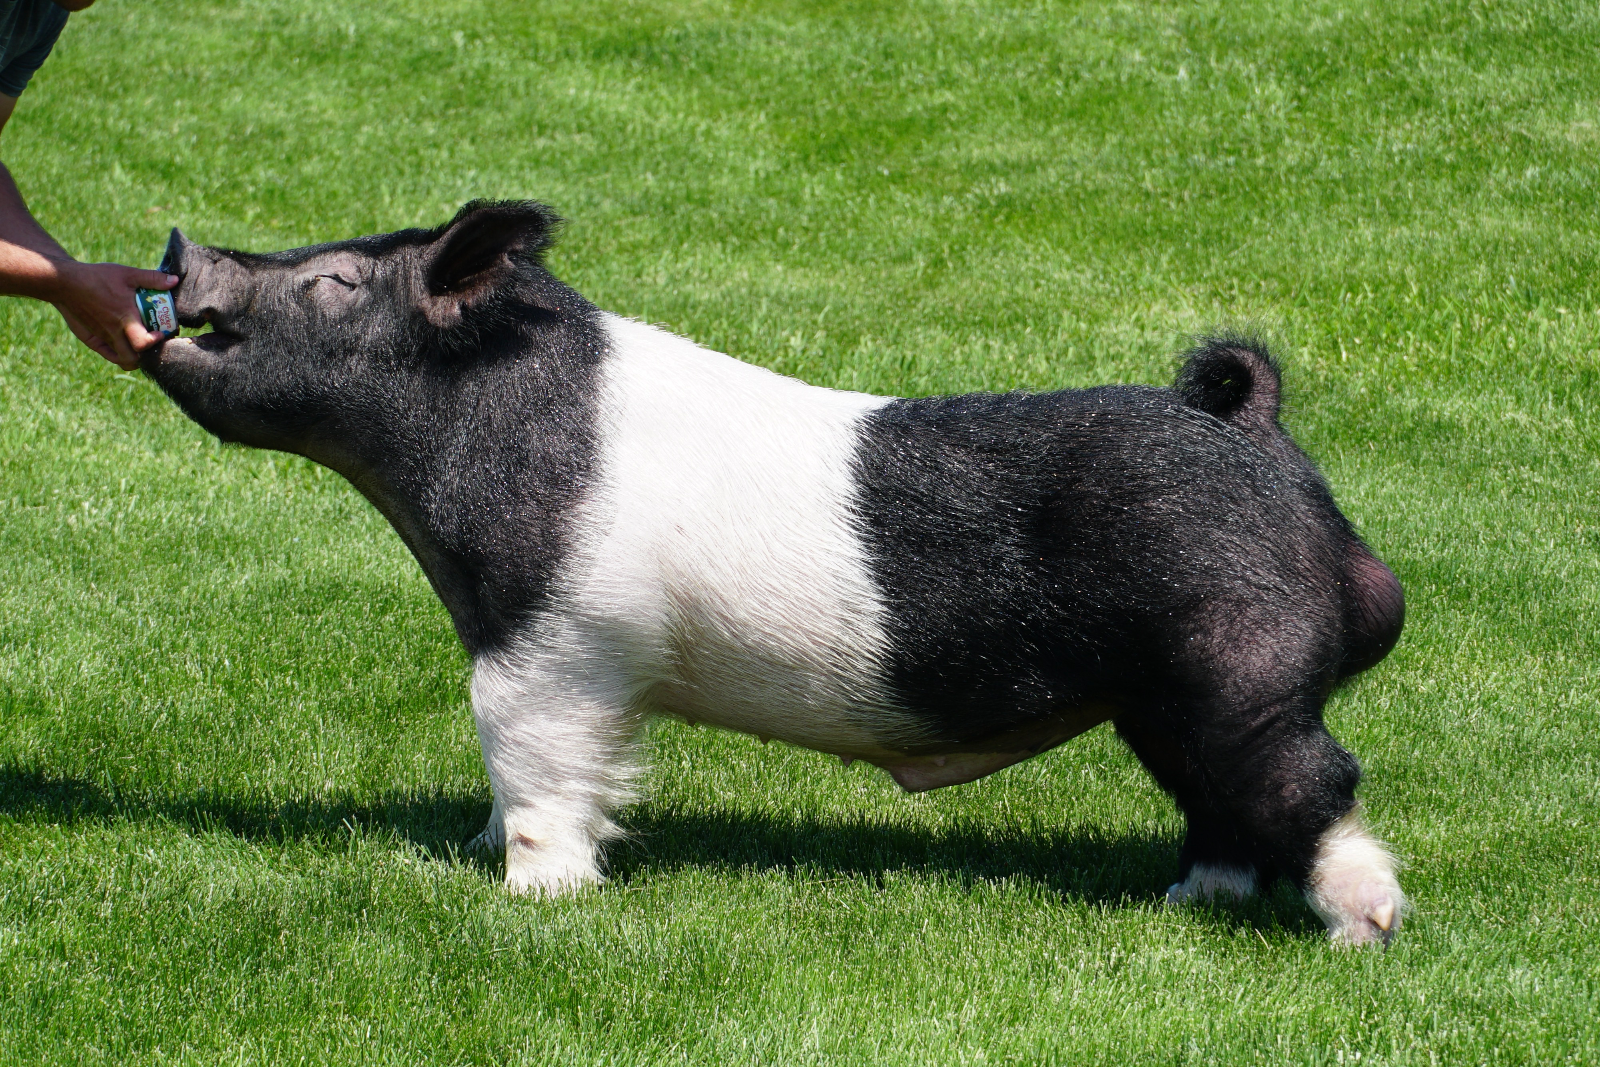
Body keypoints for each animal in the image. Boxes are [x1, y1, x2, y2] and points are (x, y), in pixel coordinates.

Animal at [141, 200, 1407, 944]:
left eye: (336, 282)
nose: (180, 249)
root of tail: (1261, 439)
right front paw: (473, 849)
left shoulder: (553, 644)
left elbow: (530, 758)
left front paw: (531, 896)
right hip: (1162, 693)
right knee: (1217, 797)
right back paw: (1187, 899)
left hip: (1240, 662)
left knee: (1313, 776)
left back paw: (1363, 926)